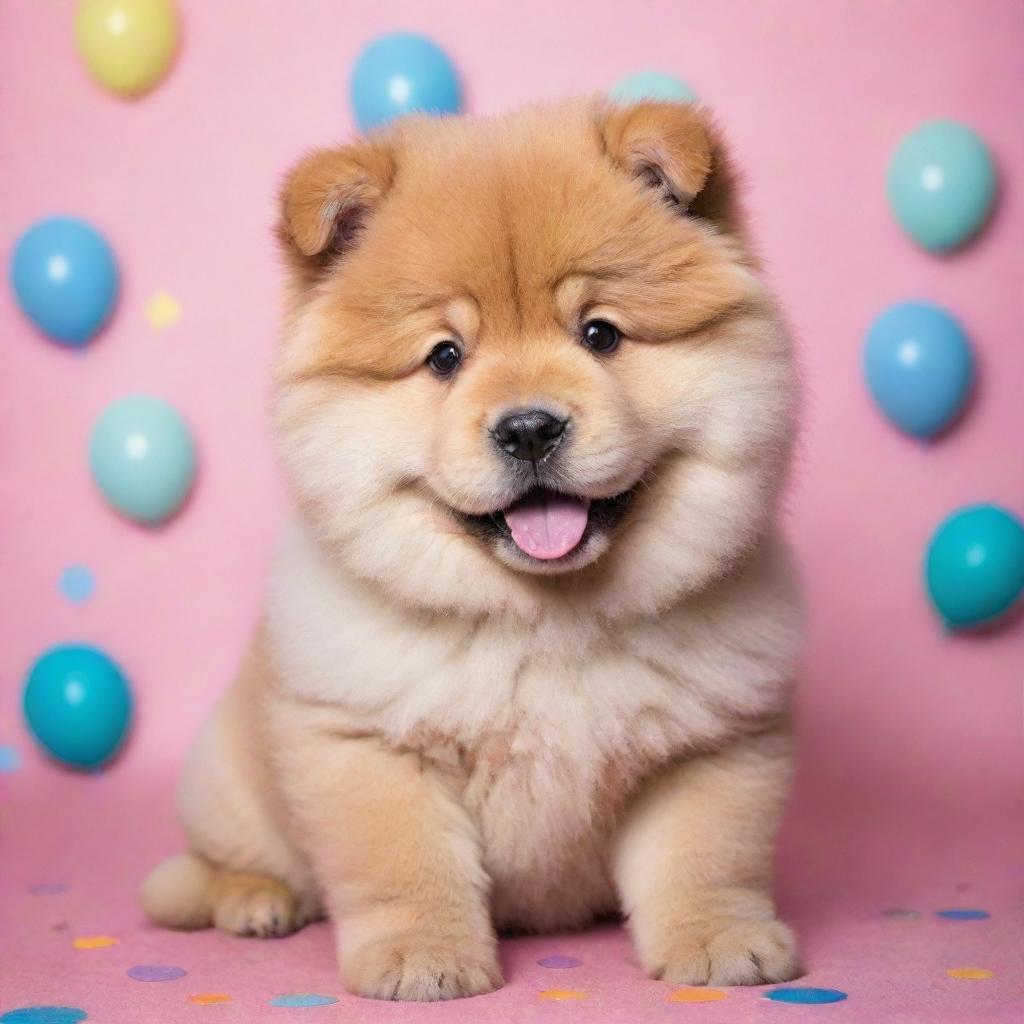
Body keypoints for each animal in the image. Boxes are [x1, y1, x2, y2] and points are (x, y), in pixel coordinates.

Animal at [140, 97, 802, 999]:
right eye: (444, 357)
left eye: (600, 334)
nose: (528, 427)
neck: (547, 621)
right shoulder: (369, 743)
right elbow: (407, 866)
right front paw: (423, 960)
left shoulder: (714, 740)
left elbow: (706, 854)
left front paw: (720, 941)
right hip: (229, 781)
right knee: (211, 867)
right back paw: (254, 899)